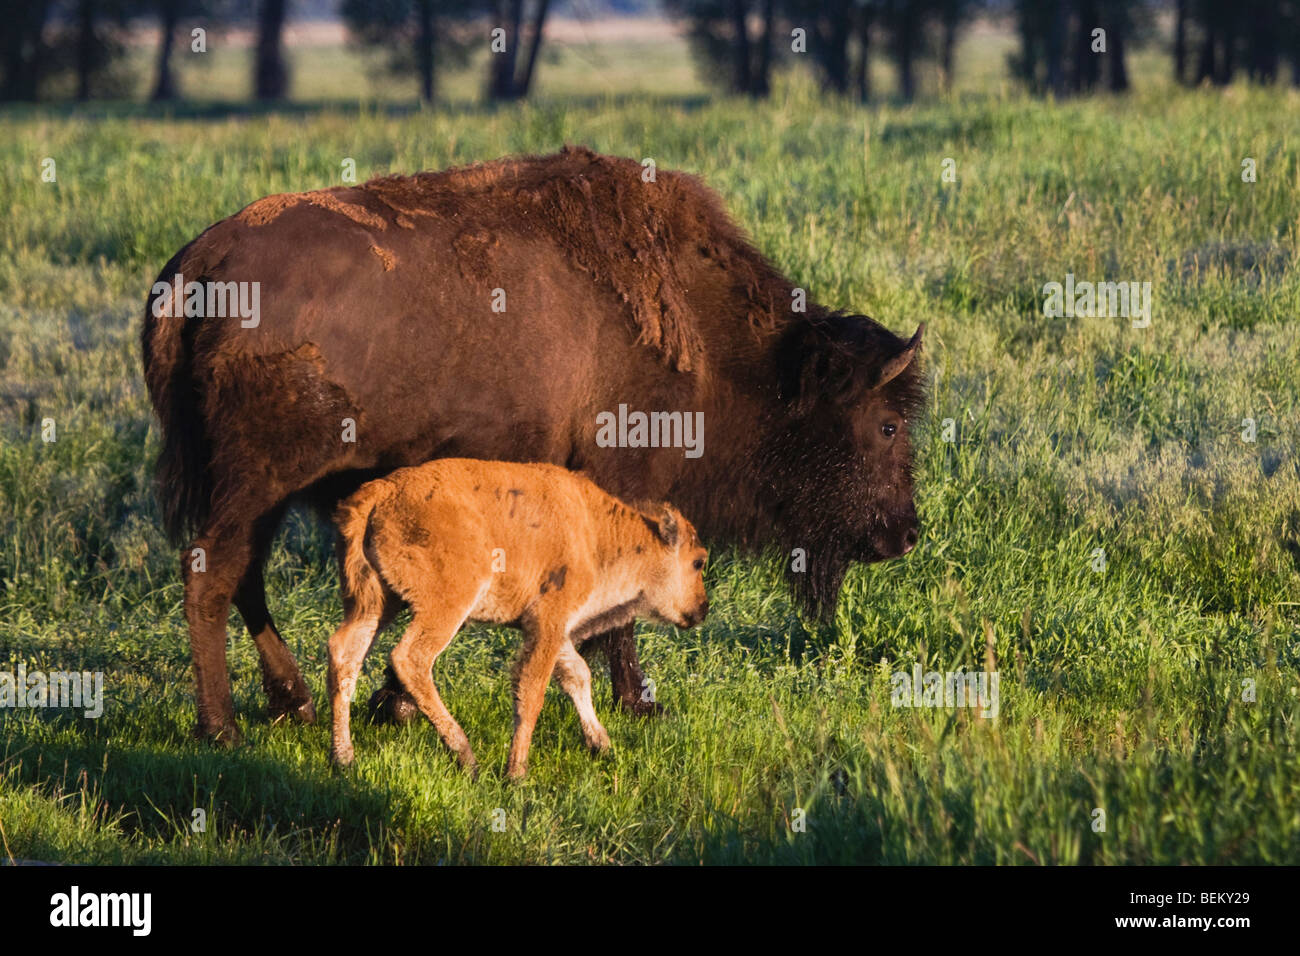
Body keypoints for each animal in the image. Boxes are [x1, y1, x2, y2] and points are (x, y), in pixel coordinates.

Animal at [141, 145, 924, 745]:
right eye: (886, 425)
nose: (906, 532)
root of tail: (198, 265)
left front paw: (394, 704)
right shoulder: (625, 483)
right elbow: (621, 608)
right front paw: (640, 703)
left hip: (254, 493)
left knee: (242, 578)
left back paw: (294, 704)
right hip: (258, 484)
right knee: (211, 578)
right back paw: (222, 729)